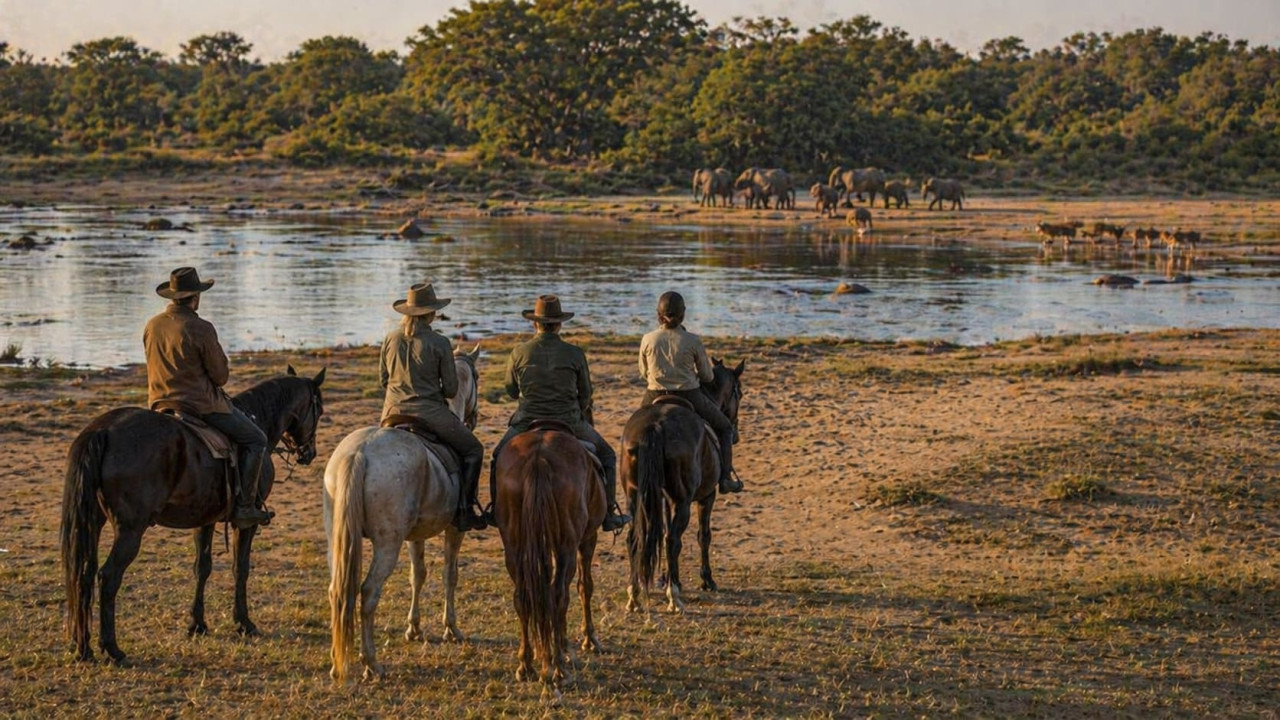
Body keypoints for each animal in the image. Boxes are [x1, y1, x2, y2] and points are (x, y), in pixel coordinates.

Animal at [60, 365, 326, 663]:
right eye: (319, 409)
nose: (309, 453)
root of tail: (102, 430)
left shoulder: (205, 519)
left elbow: (202, 567)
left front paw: (197, 623)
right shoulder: (246, 524)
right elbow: (241, 568)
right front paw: (244, 623)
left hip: (92, 523)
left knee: (82, 573)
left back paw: (83, 648)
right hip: (130, 531)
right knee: (108, 577)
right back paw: (112, 649)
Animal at [325, 347, 480, 683]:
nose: (473, 418)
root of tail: (359, 453)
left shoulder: (414, 536)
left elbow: (417, 575)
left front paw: (414, 627)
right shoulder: (455, 530)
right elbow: (450, 574)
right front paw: (451, 629)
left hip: (339, 540)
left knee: (336, 590)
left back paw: (337, 662)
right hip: (387, 545)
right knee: (368, 593)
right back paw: (371, 663)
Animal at [493, 422, 605, 696]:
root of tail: (539, 458)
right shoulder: (588, 539)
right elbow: (585, 587)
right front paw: (585, 641)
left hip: (514, 544)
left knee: (523, 596)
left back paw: (526, 665)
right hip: (567, 544)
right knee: (558, 595)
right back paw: (558, 671)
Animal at [622, 358, 744, 613]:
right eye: (739, 392)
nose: (735, 433)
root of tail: (655, 426)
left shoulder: (665, 500)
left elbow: (663, 530)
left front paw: (667, 578)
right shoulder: (706, 497)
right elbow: (703, 535)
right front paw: (706, 580)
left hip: (635, 497)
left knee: (635, 538)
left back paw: (634, 594)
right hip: (683, 501)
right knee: (672, 540)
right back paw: (674, 596)